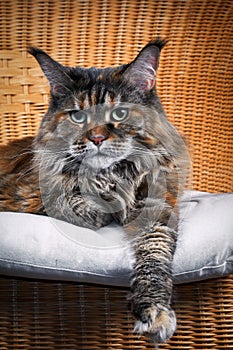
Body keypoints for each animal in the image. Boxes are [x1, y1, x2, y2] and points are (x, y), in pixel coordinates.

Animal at [0, 39, 189, 344]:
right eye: (78, 116)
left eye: (120, 113)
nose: (97, 138)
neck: (111, 175)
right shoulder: (23, 192)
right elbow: (75, 203)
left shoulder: (157, 208)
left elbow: (155, 257)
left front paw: (155, 312)